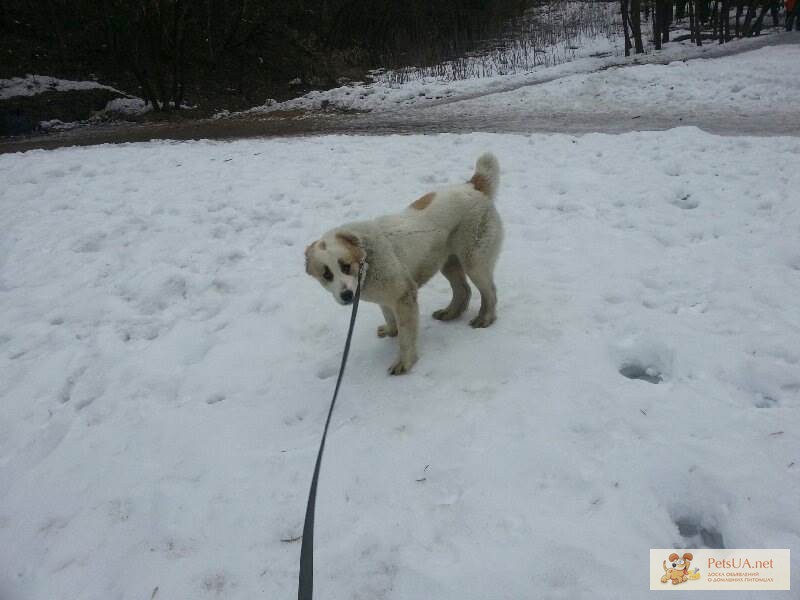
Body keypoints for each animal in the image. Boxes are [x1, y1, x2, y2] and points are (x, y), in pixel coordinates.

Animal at [304, 152, 504, 372]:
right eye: (327, 274)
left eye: (346, 266)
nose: (347, 295)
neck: (368, 259)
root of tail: (473, 186)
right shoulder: (386, 297)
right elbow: (388, 315)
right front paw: (391, 331)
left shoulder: (404, 296)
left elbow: (406, 337)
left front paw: (405, 362)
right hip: (447, 261)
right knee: (463, 290)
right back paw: (450, 313)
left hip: (473, 261)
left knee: (490, 292)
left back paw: (485, 318)